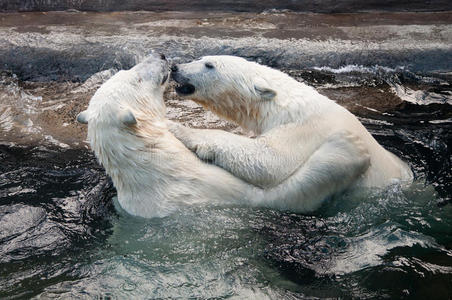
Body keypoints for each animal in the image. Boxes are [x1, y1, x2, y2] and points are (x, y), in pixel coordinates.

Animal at [75, 54, 370, 218]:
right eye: (135, 79)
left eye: (125, 71)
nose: (162, 57)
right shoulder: (222, 195)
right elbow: (282, 190)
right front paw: (350, 147)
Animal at [170, 55, 414, 189]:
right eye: (200, 58)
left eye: (209, 65)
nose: (175, 68)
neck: (281, 104)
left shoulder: (304, 128)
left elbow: (270, 160)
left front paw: (180, 128)